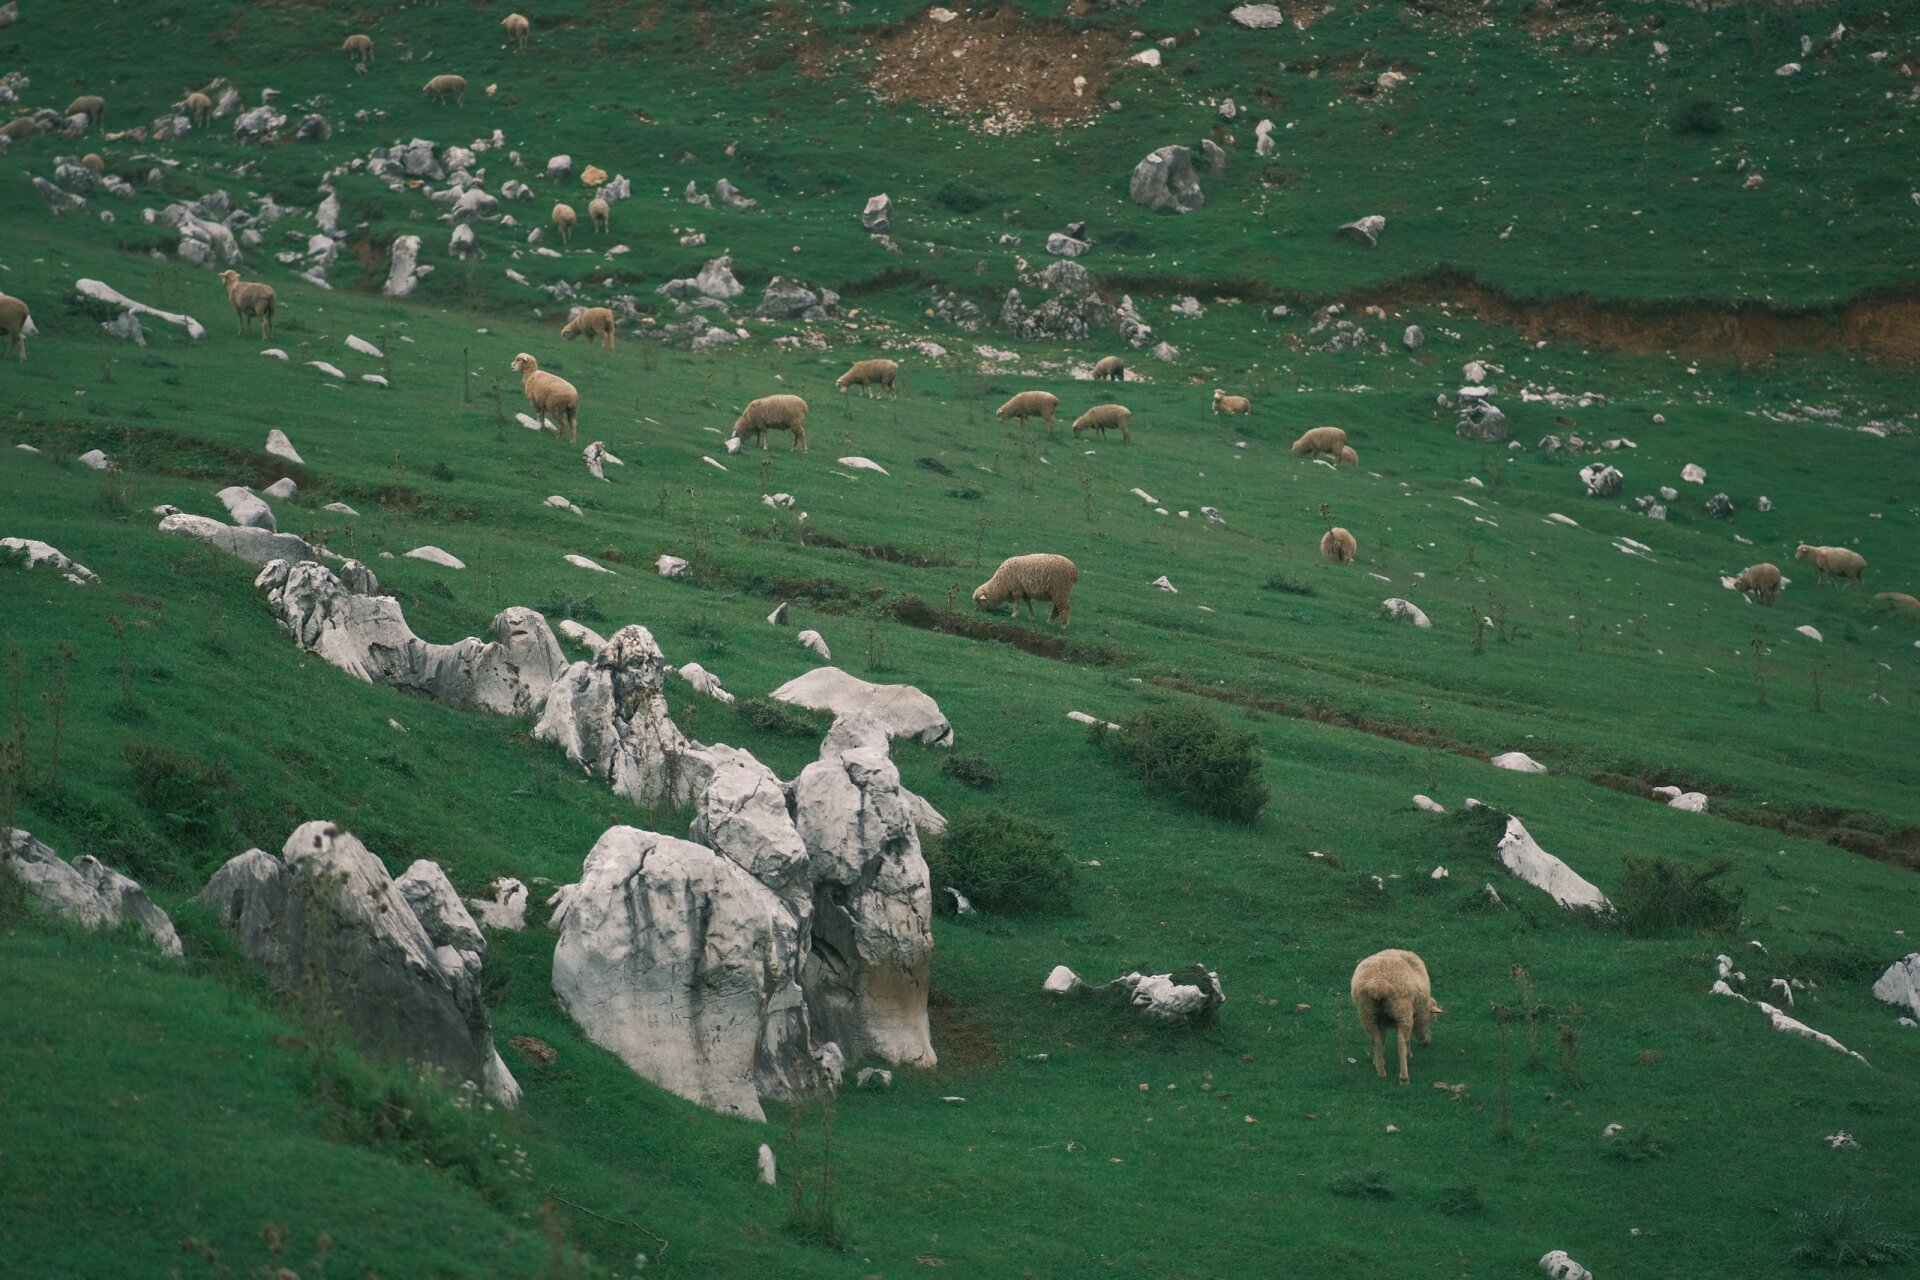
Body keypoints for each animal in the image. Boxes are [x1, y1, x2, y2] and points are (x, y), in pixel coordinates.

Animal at [1351, 948, 1443, 1090]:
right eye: (1433, 1019)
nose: (1426, 1042)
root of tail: (1378, 984)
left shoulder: (1381, 1023)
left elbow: (1382, 1040)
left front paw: (1377, 1060)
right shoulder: (1411, 1015)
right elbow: (1407, 1039)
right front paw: (1408, 1054)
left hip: (1367, 1013)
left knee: (1375, 1040)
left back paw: (1381, 1072)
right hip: (1402, 1010)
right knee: (1401, 1042)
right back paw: (1404, 1078)